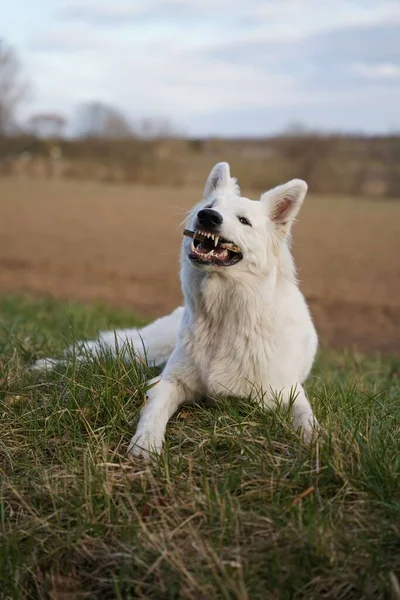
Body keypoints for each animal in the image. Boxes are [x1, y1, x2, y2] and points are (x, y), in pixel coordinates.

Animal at [34, 162, 318, 458]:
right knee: (94, 352)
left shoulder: (288, 391)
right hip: (144, 350)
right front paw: (146, 443)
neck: (224, 317)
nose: (207, 216)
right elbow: (155, 411)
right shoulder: (170, 382)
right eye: (211, 205)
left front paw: (314, 443)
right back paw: (45, 365)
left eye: (244, 221)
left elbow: (306, 417)